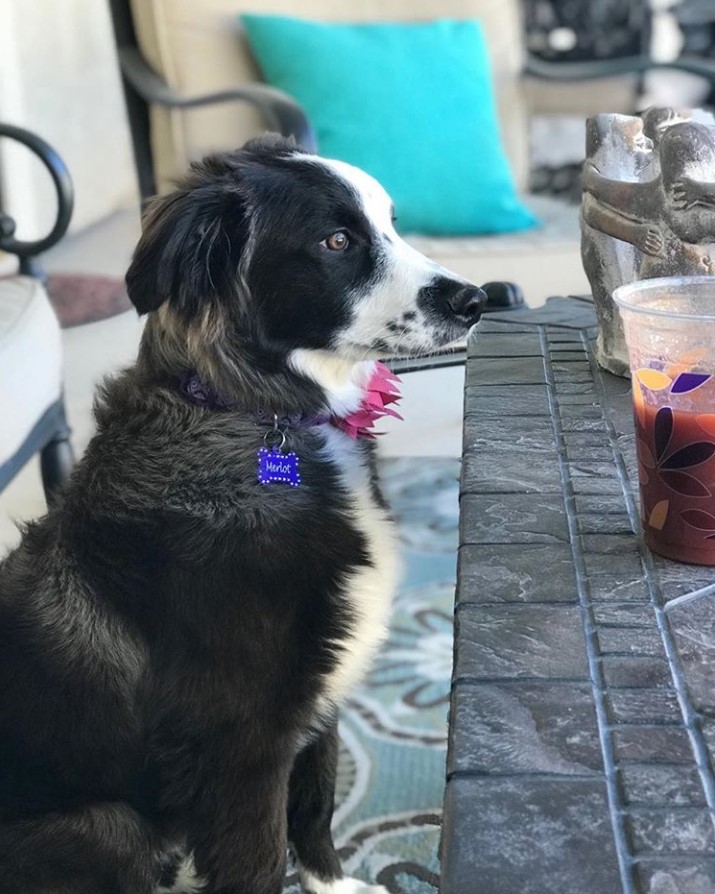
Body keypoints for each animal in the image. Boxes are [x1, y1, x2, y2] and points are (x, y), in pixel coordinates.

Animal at [0, 136, 486, 892]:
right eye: (337, 240)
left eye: (391, 224)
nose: (478, 300)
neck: (259, 417)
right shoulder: (242, 745)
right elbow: (258, 859)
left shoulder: (316, 703)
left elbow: (314, 809)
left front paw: (334, 884)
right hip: (110, 827)